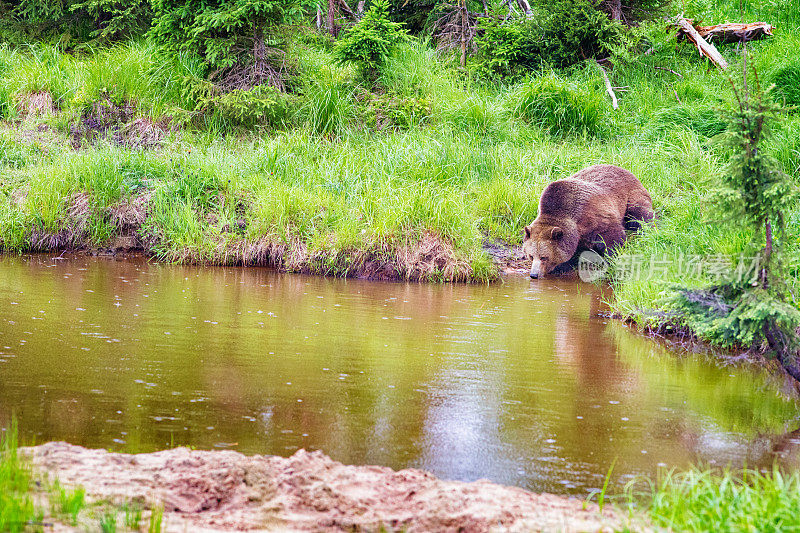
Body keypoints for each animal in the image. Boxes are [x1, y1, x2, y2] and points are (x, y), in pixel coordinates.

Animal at [520, 164, 652, 278]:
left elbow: (612, 237)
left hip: (632, 196)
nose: (533, 274)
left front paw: (611, 258)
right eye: (531, 256)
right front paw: (562, 266)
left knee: (641, 215)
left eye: (544, 257)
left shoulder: (595, 216)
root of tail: (624, 169)